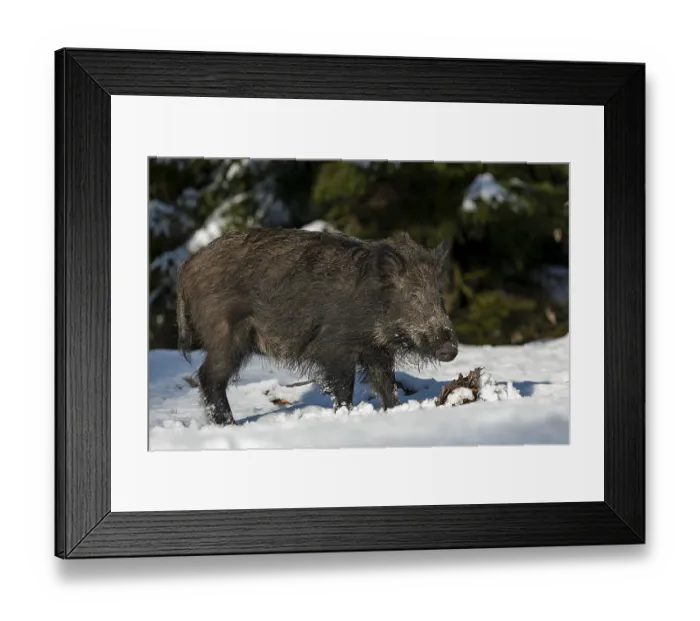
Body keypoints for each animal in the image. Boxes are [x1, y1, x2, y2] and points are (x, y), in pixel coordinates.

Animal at [176, 228, 459, 426]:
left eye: (439, 296)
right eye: (414, 296)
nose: (451, 349)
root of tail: (186, 268)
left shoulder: (376, 350)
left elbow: (386, 384)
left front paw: (395, 411)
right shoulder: (335, 348)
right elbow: (344, 388)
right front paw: (345, 414)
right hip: (226, 335)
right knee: (208, 376)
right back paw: (230, 425)